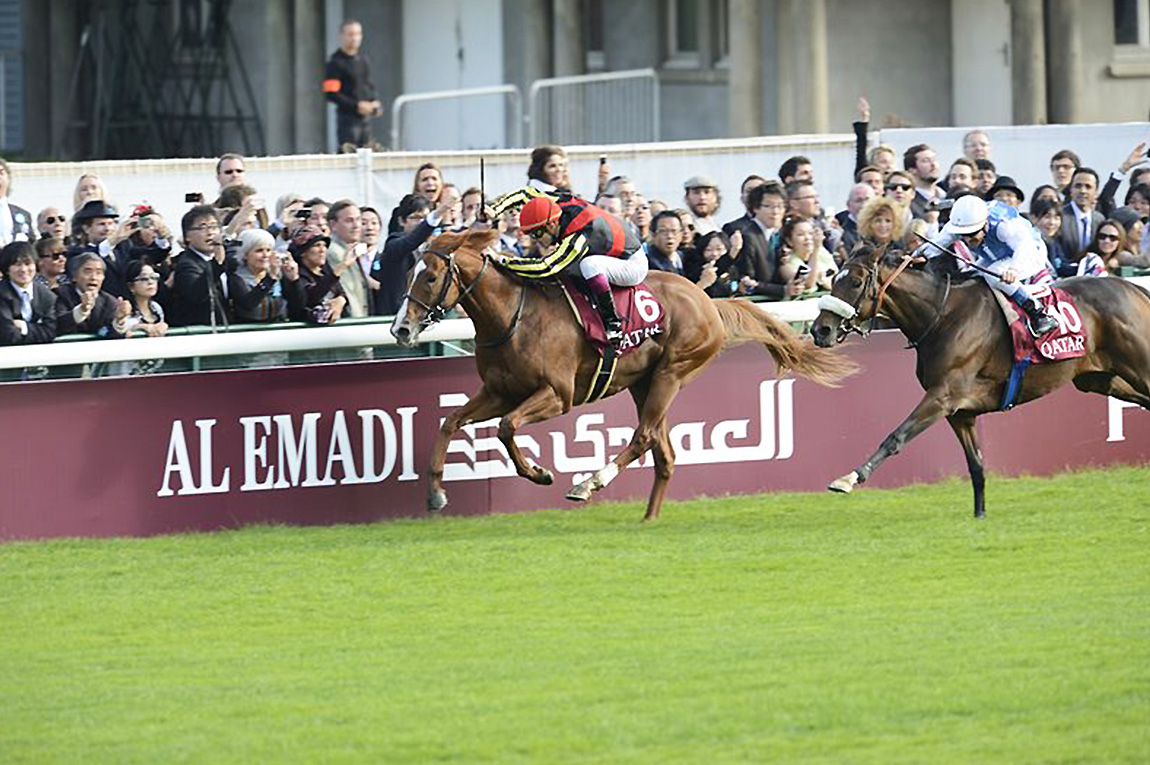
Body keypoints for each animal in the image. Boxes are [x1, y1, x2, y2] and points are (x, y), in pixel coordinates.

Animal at [393, 227, 855, 519]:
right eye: (410, 273)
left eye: (430, 276)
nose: (400, 328)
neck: (512, 317)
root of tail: (707, 300)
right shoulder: (498, 391)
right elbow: (450, 422)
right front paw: (435, 493)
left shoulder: (556, 395)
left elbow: (507, 428)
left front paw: (540, 473)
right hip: (644, 383)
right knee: (664, 454)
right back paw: (648, 518)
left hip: (671, 372)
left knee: (644, 438)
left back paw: (587, 484)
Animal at [809, 242, 1150, 519]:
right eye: (833, 278)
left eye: (855, 282)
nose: (819, 330)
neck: (943, 316)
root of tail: (1134, 289)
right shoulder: (960, 412)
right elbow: (975, 465)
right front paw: (980, 515)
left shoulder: (942, 396)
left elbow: (896, 436)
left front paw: (849, 478)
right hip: (1099, 379)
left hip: (1138, 366)